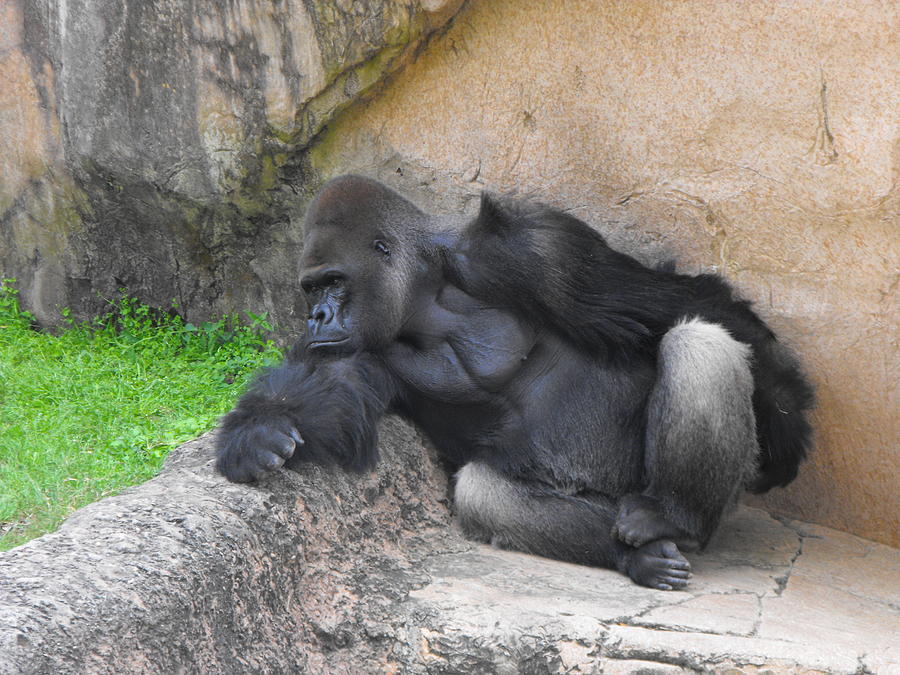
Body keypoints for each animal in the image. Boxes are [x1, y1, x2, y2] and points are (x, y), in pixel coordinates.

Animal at [218, 176, 816, 592]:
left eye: (334, 281)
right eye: (310, 288)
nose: (316, 316)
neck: (425, 289)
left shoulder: (533, 246)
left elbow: (673, 302)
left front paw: (785, 418)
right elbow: (334, 386)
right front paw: (263, 428)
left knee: (698, 337)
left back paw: (677, 514)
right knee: (483, 493)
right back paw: (638, 556)